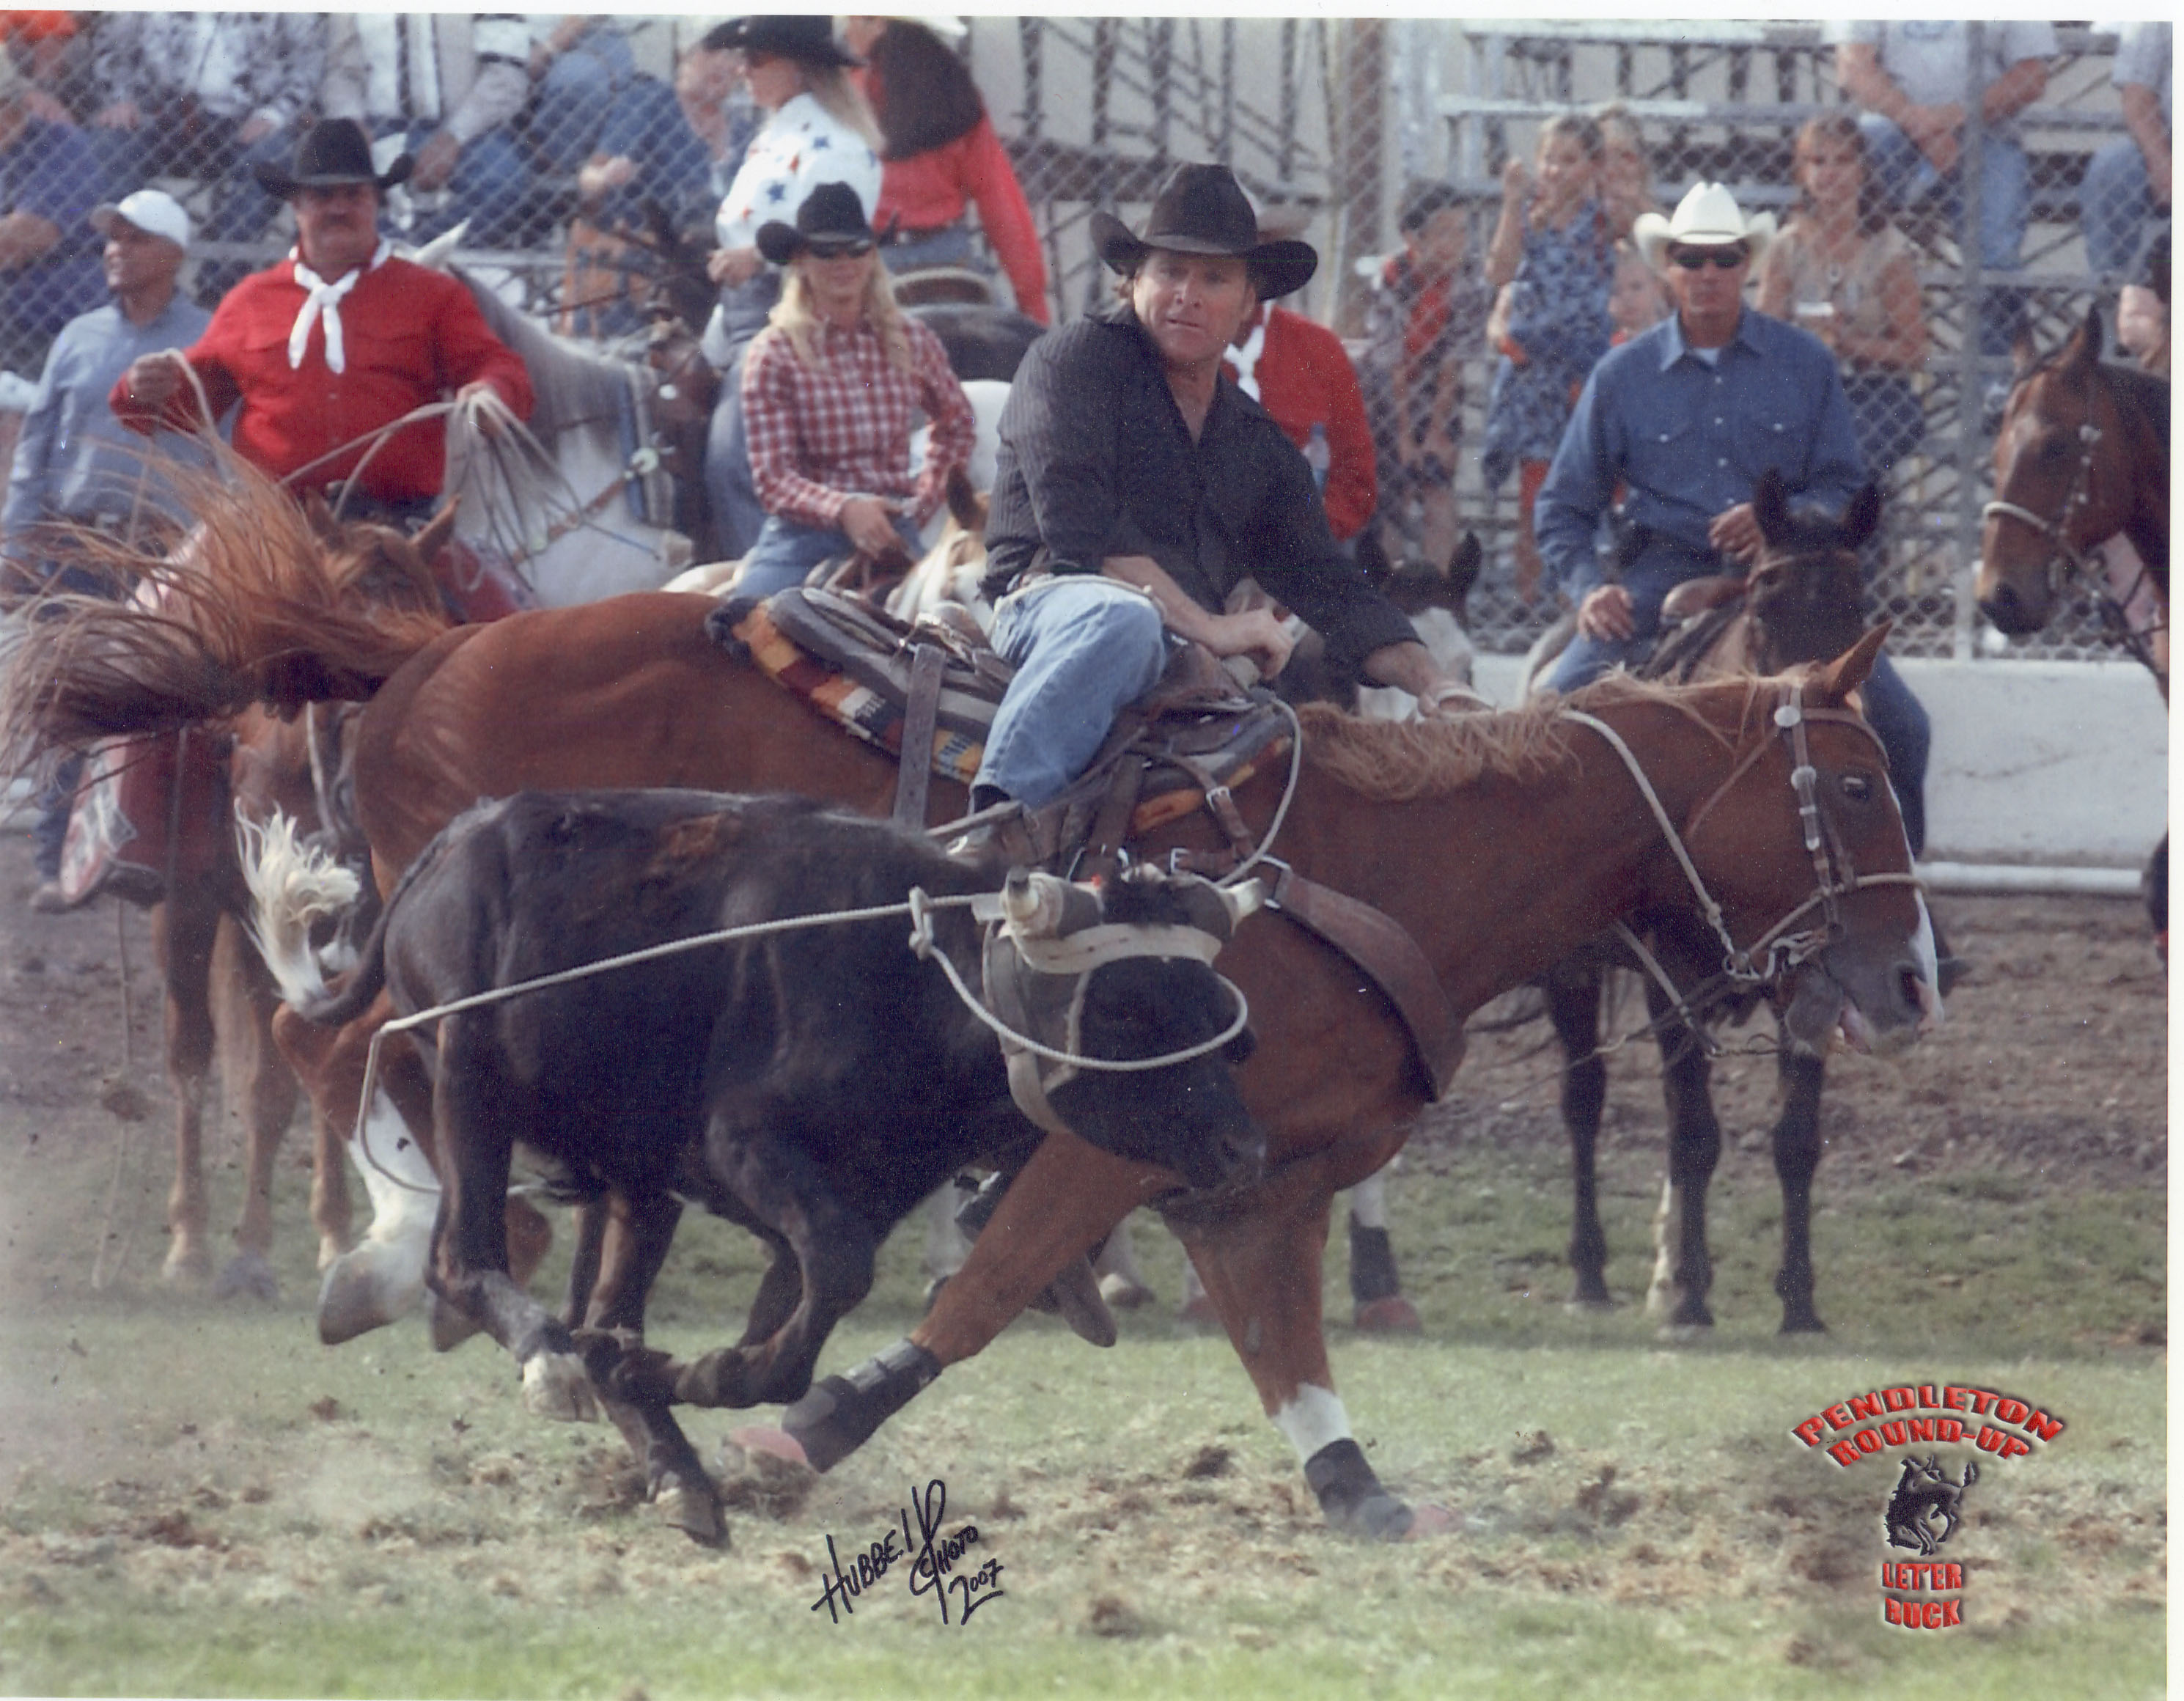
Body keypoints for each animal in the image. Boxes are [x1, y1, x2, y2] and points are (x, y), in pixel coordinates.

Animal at [8, 485, 1939, 1537]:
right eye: (1849, 780)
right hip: (472, 978)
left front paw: (1355, 1489)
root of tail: (419, 649)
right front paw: (792, 1430)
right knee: (346, 1056)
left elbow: (1278, 1336)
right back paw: (406, 1271)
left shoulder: (1257, 1169)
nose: (1913, 976)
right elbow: (987, 1286)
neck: (1355, 870)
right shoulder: (1106, 1139)